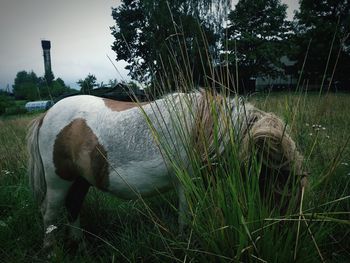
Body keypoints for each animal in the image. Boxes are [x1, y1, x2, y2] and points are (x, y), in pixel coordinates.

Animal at [26, 89, 306, 249]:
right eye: (281, 174)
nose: (291, 226)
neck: (203, 130)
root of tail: (47, 114)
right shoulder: (187, 185)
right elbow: (186, 219)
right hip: (58, 182)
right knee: (50, 215)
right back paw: (51, 250)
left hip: (80, 181)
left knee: (73, 207)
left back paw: (79, 244)